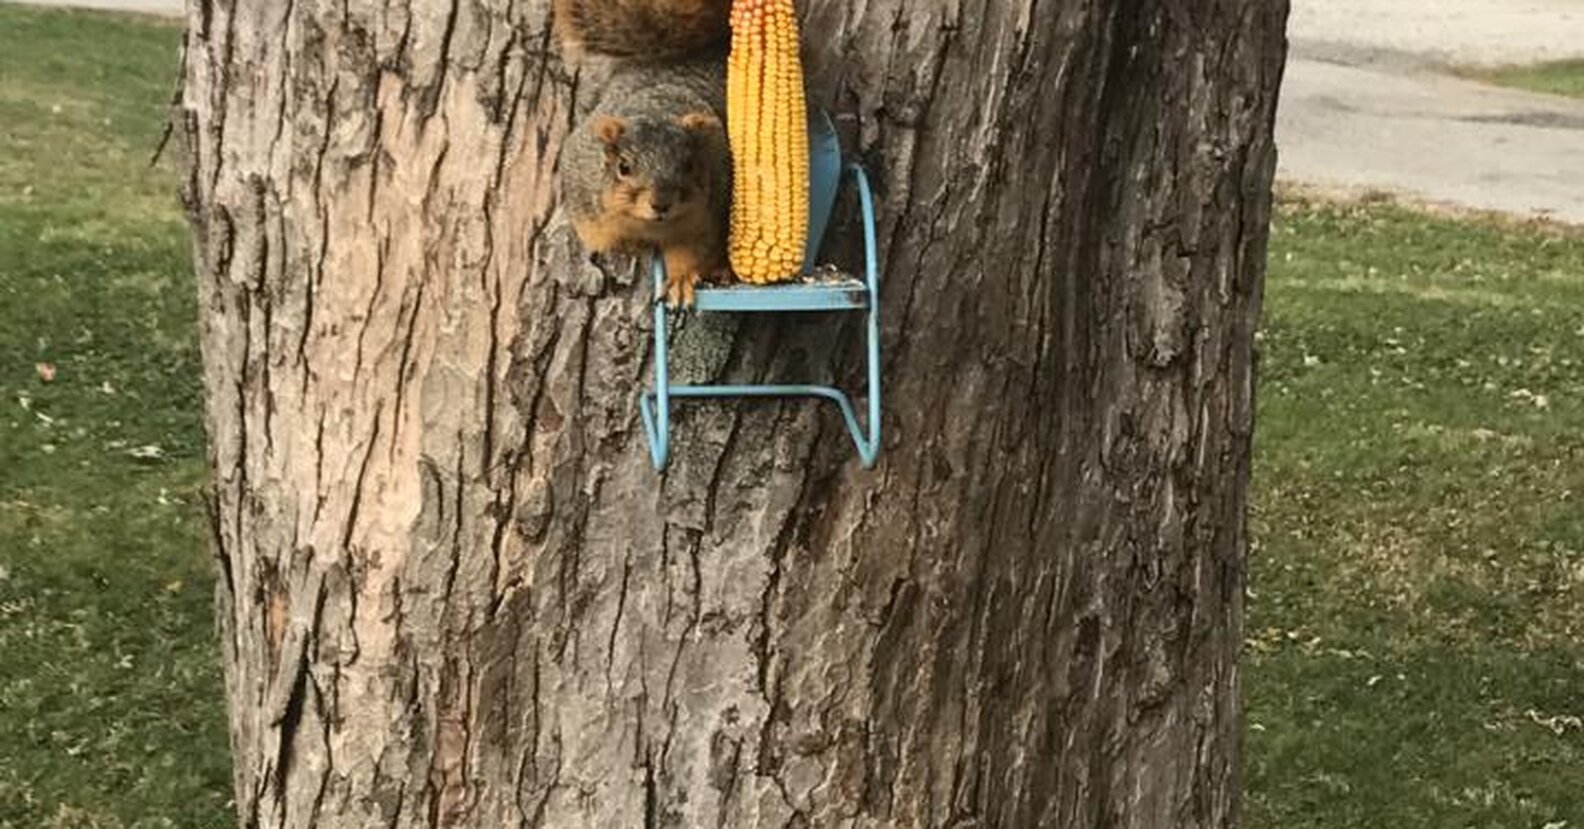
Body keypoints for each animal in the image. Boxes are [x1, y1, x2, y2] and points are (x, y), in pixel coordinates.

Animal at [556, 0, 734, 306]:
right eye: (623, 167)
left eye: (689, 165)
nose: (660, 204)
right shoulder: (581, 180)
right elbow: (596, 233)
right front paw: (625, 245)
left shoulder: (708, 216)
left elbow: (692, 254)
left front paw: (681, 281)